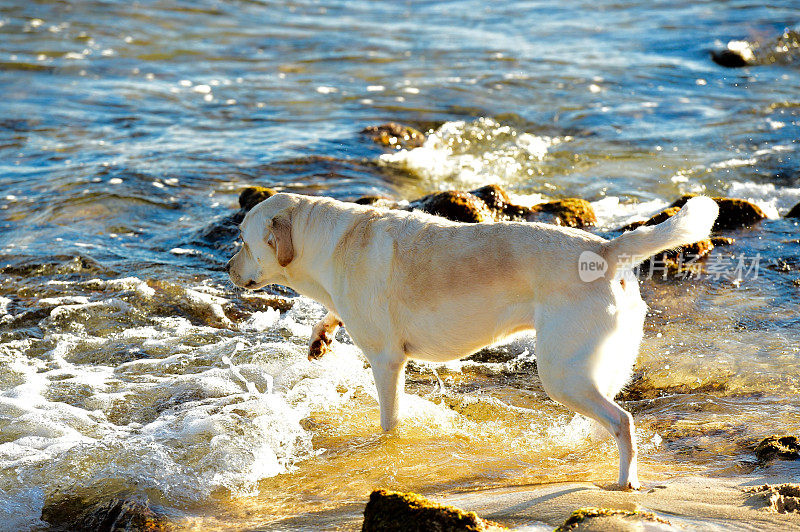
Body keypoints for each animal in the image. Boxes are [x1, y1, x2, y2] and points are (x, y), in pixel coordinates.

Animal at [225, 192, 720, 490]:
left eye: (243, 241)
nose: (227, 269)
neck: (327, 242)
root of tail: (605, 249)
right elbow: (330, 316)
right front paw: (321, 335)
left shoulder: (386, 361)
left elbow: (389, 421)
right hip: (594, 365)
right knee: (609, 417)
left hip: (560, 373)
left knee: (622, 421)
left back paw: (625, 480)